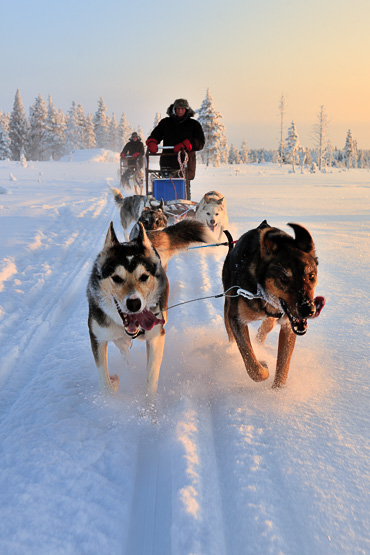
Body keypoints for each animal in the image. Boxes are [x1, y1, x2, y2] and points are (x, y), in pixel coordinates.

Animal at [223, 219, 324, 388]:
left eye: (311, 276)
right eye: (284, 278)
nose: (308, 310)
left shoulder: (288, 326)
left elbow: (283, 366)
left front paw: (277, 392)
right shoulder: (236, 319)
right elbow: (252, 363)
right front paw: (263, 366)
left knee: (266, 327)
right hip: (228, 304)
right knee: (230, 332)